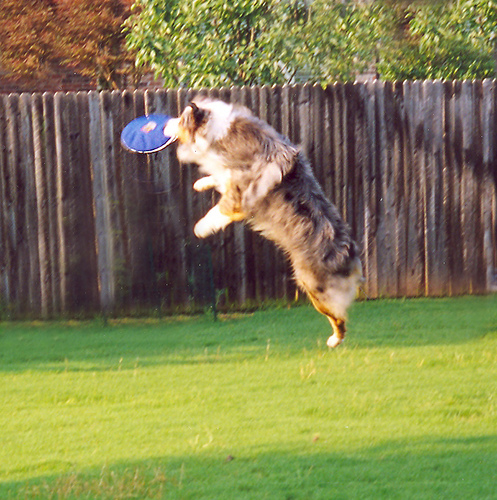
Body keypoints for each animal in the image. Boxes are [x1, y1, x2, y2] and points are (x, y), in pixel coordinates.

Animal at [164, 97, 362, 347]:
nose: (164, 124)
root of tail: (349, 253)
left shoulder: (242, 190)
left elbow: (221, 207)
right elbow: (219, 177)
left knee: (338, 317)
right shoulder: (230, 176)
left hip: (314, 287)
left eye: (180, 120)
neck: (217, 131)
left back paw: (334, 340)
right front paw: (200, 183)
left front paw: (200, 228)